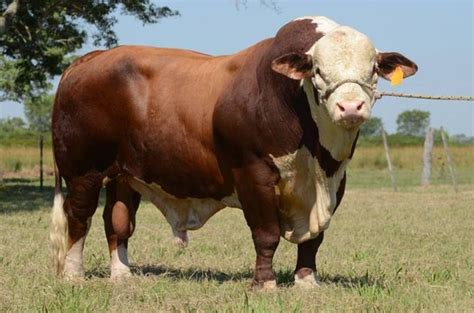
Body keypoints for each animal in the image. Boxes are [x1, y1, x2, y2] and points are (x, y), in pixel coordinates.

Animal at [50, 15, 416, 286]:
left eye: (373, 70)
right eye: (317, 70)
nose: (350, 106)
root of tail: (89, 60)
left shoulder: (336, 180)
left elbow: (313, 239)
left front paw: (306, 280)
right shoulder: (253, 173)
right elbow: (266, 234)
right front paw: (265, 283)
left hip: (124, 174)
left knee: (117, 221)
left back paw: (122, 274)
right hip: (83, 170)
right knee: (79, 217)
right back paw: (73, 275)